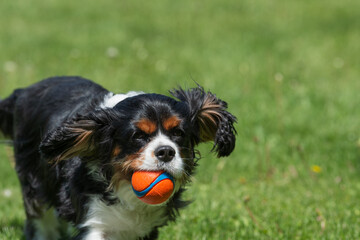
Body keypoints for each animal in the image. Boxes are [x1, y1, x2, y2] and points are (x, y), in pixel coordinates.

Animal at [0, 77, 238, 240]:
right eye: (138, 136)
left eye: (178, 133)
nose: (166, 151)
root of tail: (23, 92)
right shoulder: (94, 222)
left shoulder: (147, 229)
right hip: (34, 186)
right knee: (42, 222)